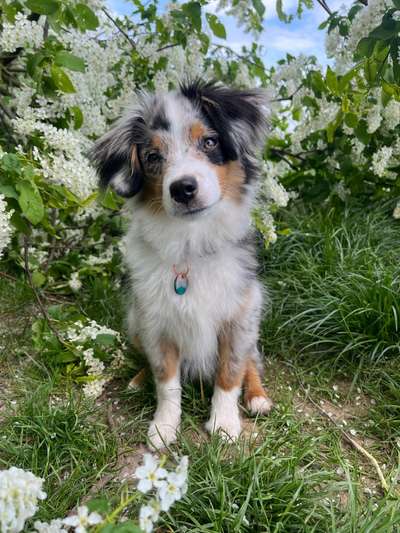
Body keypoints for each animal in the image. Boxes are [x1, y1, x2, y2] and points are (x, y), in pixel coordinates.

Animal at [90, 79, 272, 446]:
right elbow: (166, 381)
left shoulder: (239, 318)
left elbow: (230, 373)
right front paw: (164, 426)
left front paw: (224, 423)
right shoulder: (156, 324)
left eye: (210, 141)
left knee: (251, 364)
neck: (191, 244)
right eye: (152, 157)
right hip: (134, 322)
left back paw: (258, 397)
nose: (183, 188)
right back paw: (138, 379)